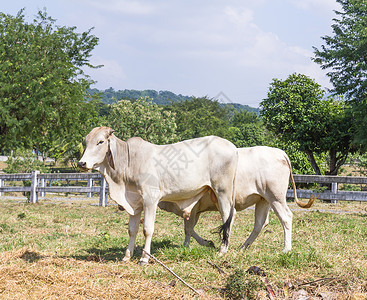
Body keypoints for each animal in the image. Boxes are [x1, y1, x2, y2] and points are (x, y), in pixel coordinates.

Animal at [78, 126, 239, 264]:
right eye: (86, 141)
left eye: (100, 141)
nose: (81, 163)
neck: (129, 162)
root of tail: (233, 147)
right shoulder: (134, 204)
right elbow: (132, 230)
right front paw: (127, 256)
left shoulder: (150, 200)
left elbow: (147, 229)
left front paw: (144, 258)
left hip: (222, 192)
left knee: (227, 217)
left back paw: (222, 250)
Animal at [157, 146, 314, 252]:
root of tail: (280, 152)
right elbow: (188, 228)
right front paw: (190, 245)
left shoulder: (193, 207)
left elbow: (188, 228)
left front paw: (200, 244)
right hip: (263, 199)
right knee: (260, 223)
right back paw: (244, 246)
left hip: (276, 197)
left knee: (286, 217)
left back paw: (286, 249)